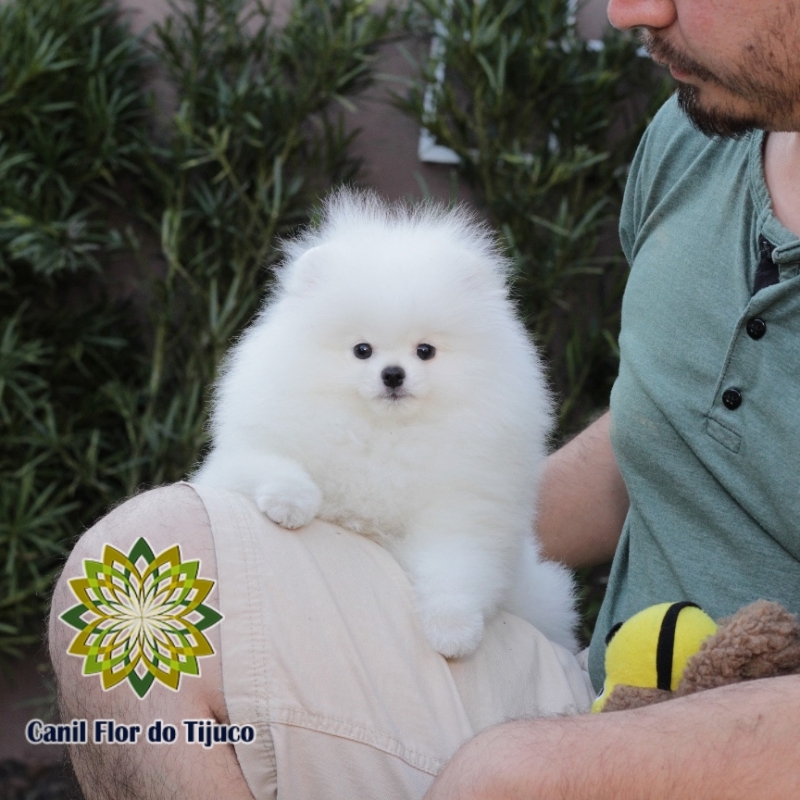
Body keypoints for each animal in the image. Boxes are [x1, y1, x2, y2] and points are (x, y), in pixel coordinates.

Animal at [195, 188, 580, 656]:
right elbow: (269, 464)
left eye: (425, 351)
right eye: (362, 350)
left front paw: (453, 630)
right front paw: (290, 502)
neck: (384, 433)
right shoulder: (240, 456)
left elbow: (457, 570)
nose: (393, 374)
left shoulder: (466, 514)